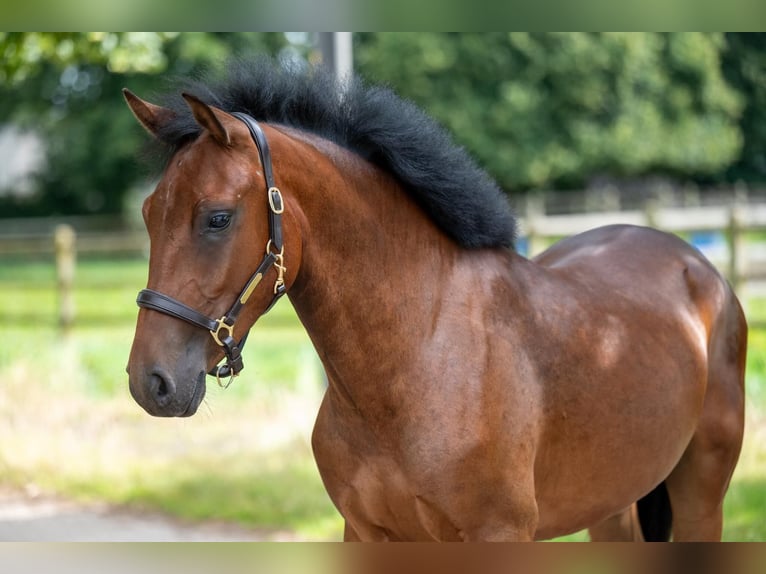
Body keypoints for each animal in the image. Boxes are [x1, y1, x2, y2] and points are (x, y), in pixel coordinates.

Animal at [124, 58, 747, 541]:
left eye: (217, 218)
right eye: (149, 215)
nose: (151, 383)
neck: (419, 356)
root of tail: (698, 269)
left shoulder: (498, 535)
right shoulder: (367, 532)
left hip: (702, 497)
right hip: (612, 507)